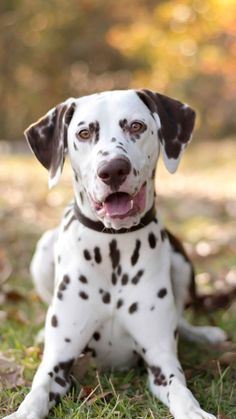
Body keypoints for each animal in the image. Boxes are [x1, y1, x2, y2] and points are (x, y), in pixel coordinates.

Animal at [5, 89, 227, 419]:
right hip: (43, 249)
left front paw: (195, 412)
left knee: (182, 319)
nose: (112, 170)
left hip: (180, 261)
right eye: (84, 133)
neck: (112, 248)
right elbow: (37, 392)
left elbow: (182, 391)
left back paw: (204, 334)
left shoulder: (162, 363)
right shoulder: (57, 364)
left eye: (136, 126)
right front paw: (22, 412)